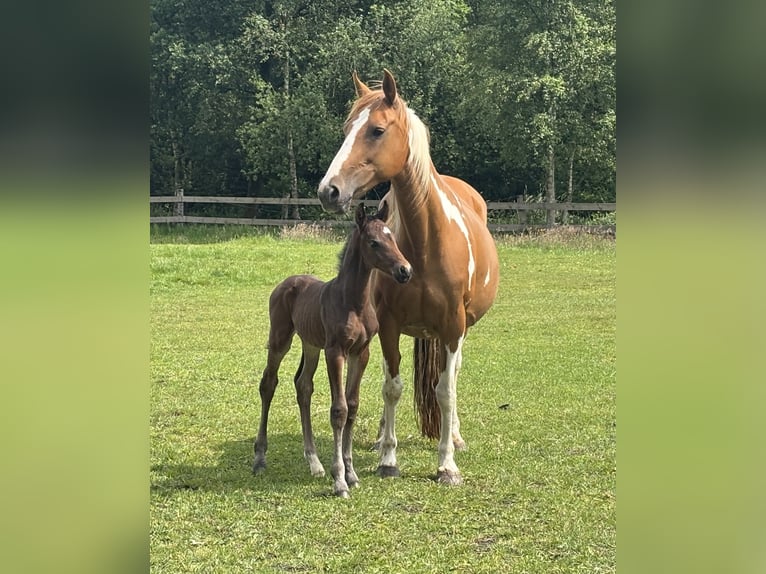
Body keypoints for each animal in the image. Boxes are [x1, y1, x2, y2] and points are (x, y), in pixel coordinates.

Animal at [253, 202, 412, 497]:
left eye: (393, 239)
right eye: (373, 242)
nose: (405, 271)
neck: (354, 302)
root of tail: (286, 283)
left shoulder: (361, 352)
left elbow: (353, 405)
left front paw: (351, 473)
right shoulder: (335, 351)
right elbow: (339, 410)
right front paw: (339, 480)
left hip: (311, 344)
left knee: (303, 386)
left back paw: (314, 462)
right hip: (281, 339)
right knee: (268, 383)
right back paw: (259, 458)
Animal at [317, 69, 500, 486]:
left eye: (377, 130)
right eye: (346, 128)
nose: (328, 190)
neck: (427, 239)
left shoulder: (453, 327)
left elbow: (445, 390)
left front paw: (447, 464)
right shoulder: (388, 324)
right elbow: (392, 386)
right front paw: (388, 457)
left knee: (452, 378)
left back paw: (455, 436)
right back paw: (381, 437)